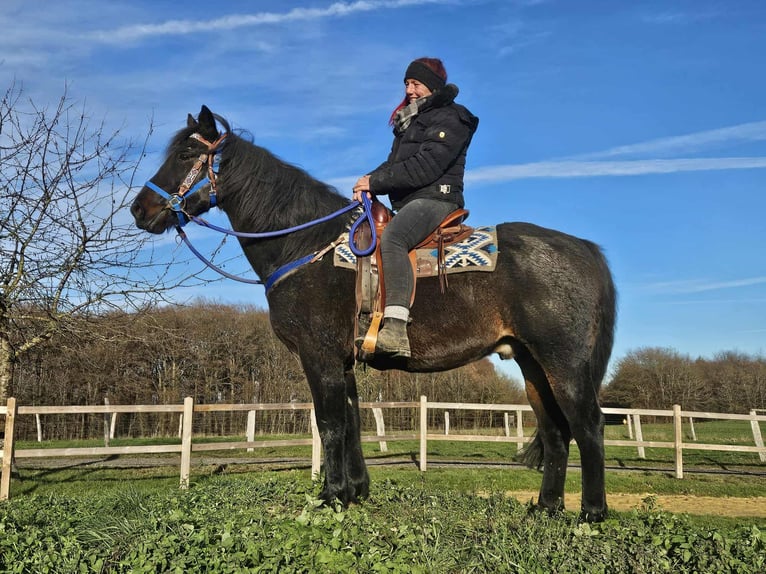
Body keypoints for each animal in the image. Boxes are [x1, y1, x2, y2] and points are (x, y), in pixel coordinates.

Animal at [131, 105, 617, 522]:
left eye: (186, 154)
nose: (139, 209)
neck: (306, 246)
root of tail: (584, 249)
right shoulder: (342, 362)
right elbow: (351, 422)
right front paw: (354, 492)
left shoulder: (319, 356)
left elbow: (329, 424)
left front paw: (330, 497)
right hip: (532, 364)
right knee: (556, 431)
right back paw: (547, 508)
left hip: (565, 364)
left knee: (588, 425)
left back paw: (591, 513)